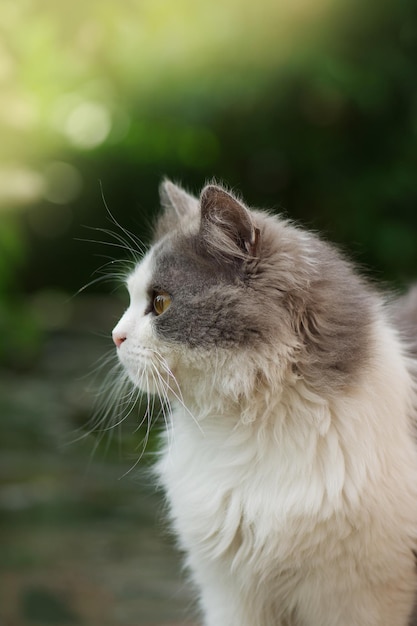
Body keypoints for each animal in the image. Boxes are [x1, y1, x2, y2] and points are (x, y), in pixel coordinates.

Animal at [110, 180, 416, 624]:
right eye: (131, 299)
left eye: (161, 302)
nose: (115, 336)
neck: (246, 428)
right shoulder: (230, 594)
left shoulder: (359, 597)